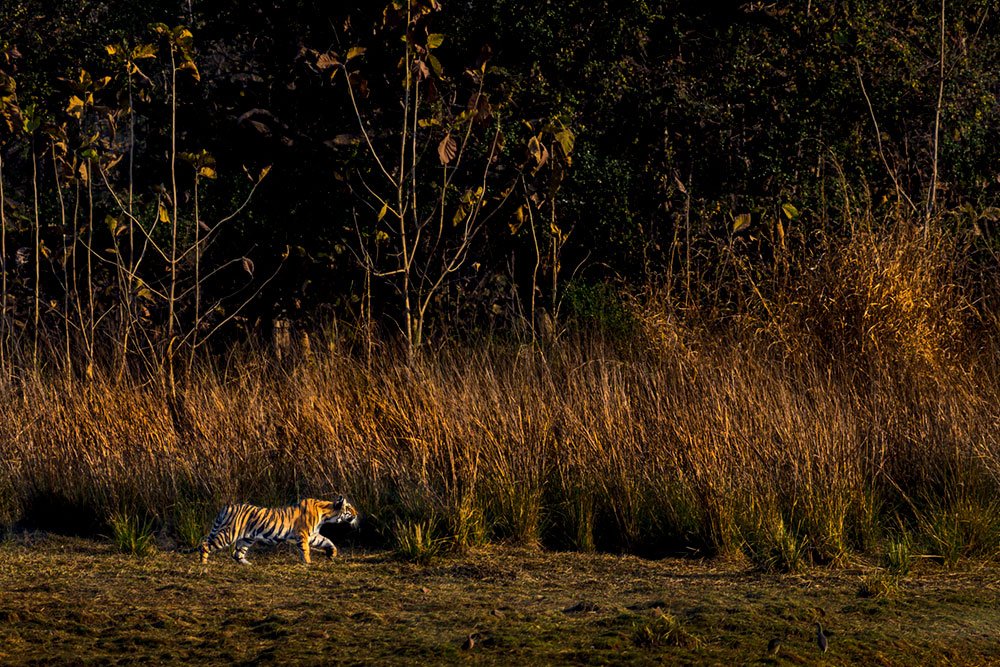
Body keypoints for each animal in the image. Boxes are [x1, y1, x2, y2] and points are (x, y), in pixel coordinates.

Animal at [199, 496, 359, 565]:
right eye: (349, 508)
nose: (357, 514)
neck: (326, 515)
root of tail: (227, 506)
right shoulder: (303, 534)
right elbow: (305, 550)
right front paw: (308, 563)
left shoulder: (313, 535)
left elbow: (327, 540)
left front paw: (333, 553)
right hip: (229, 534)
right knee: (205, 545)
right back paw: (204, 564)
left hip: (247, 538)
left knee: (236, 553)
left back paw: (249, 565)